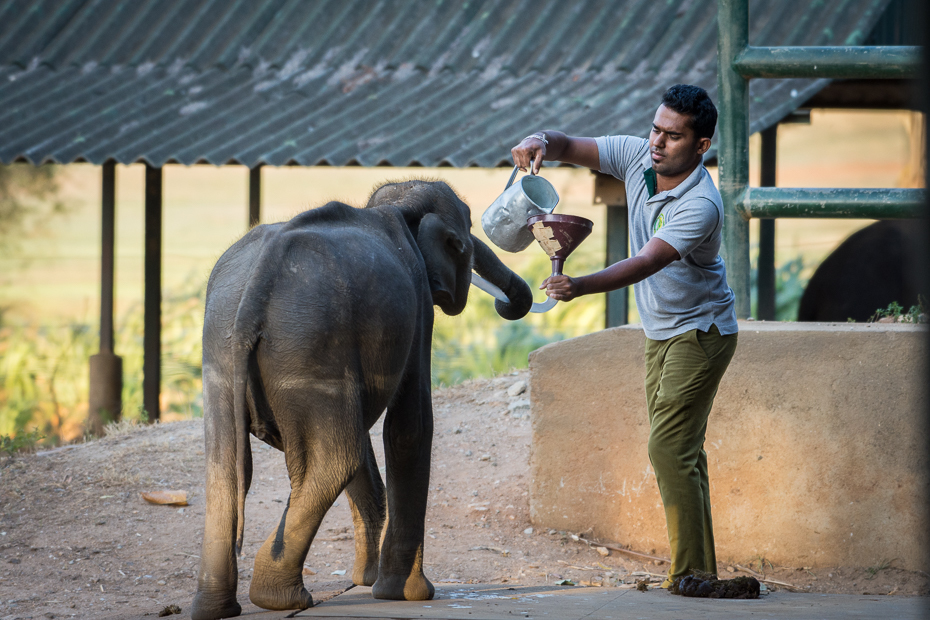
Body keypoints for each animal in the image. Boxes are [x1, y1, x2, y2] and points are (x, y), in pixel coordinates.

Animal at [190, 179, 528, 620]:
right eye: (466, 237)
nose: (507, 299)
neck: (399, 205)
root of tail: (257, 286)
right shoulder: (418, 304)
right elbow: (409, 427)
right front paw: (407, 594)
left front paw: (369, 582)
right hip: (310, 349)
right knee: (338, 456)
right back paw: (280, 599)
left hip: (222, 351)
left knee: (228, 469)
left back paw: (220, 608)